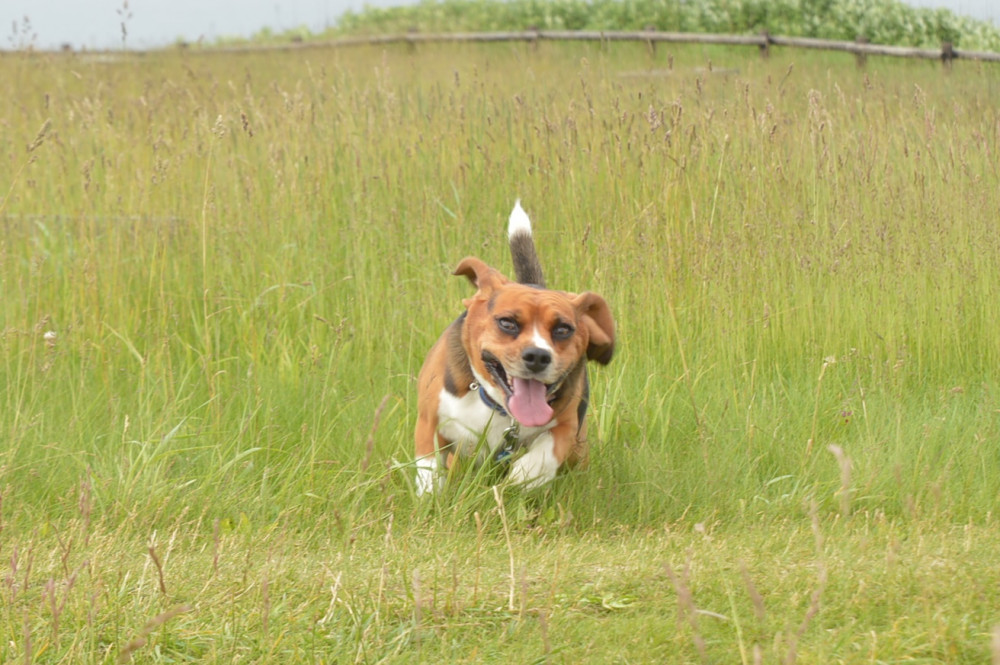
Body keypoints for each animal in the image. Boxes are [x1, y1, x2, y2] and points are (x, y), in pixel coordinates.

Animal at [410, 201, 612, 492]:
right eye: (507, 323)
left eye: (563, 329)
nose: (537, 356)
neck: (498, 405)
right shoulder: (429, 422)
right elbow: (429, 466)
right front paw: (430, 494)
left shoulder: (567, 424)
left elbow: (547, 450)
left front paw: (524, 475)